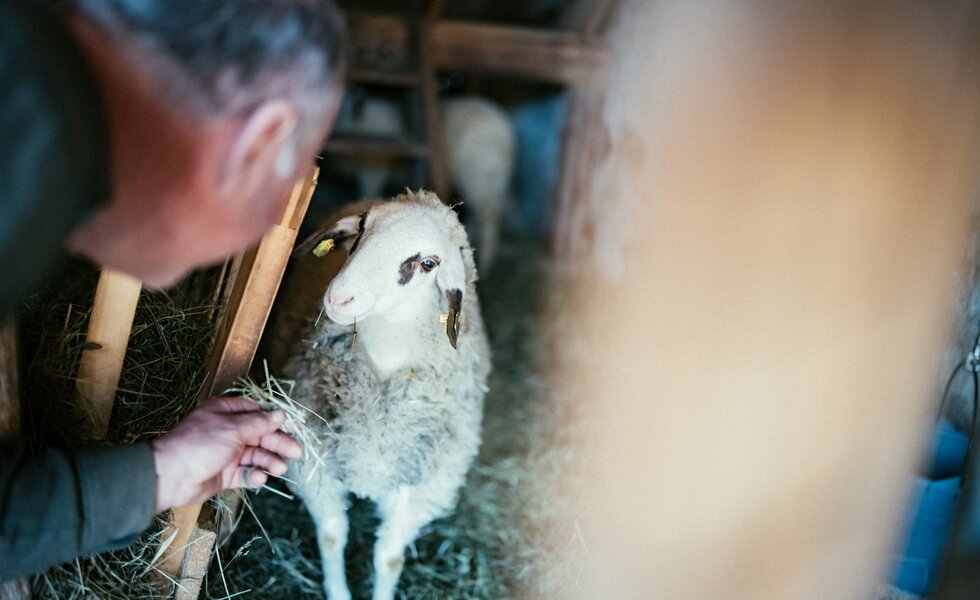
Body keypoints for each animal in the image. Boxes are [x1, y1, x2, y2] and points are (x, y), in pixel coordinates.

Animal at [280, 189, 491, 600]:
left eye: (428, 263)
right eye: (363, 226)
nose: (339, 298)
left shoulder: (421, 486)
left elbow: (389, 558)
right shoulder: (313, 464)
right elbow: (332, 536)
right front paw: (339, 592)